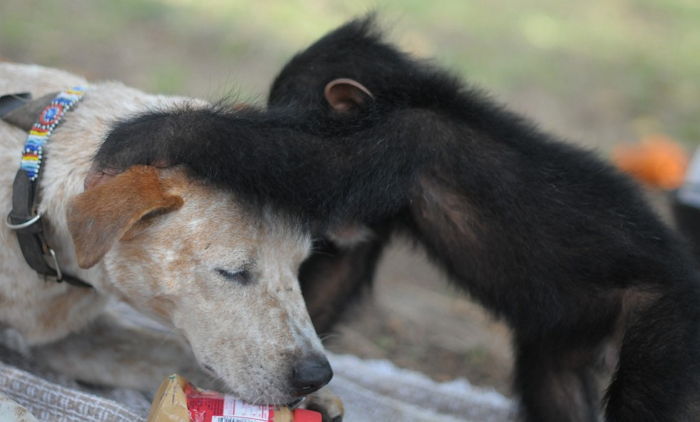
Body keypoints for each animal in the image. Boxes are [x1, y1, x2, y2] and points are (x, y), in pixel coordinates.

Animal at [95, 17, 696, 422]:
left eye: (288, 112)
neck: (410, 97)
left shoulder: (400, 142)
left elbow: (314, 166)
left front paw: (154, 133)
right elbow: (342, 261)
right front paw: (301, 381)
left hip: (664, 318)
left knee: (645, 395)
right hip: (565, 340)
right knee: (556, 389)